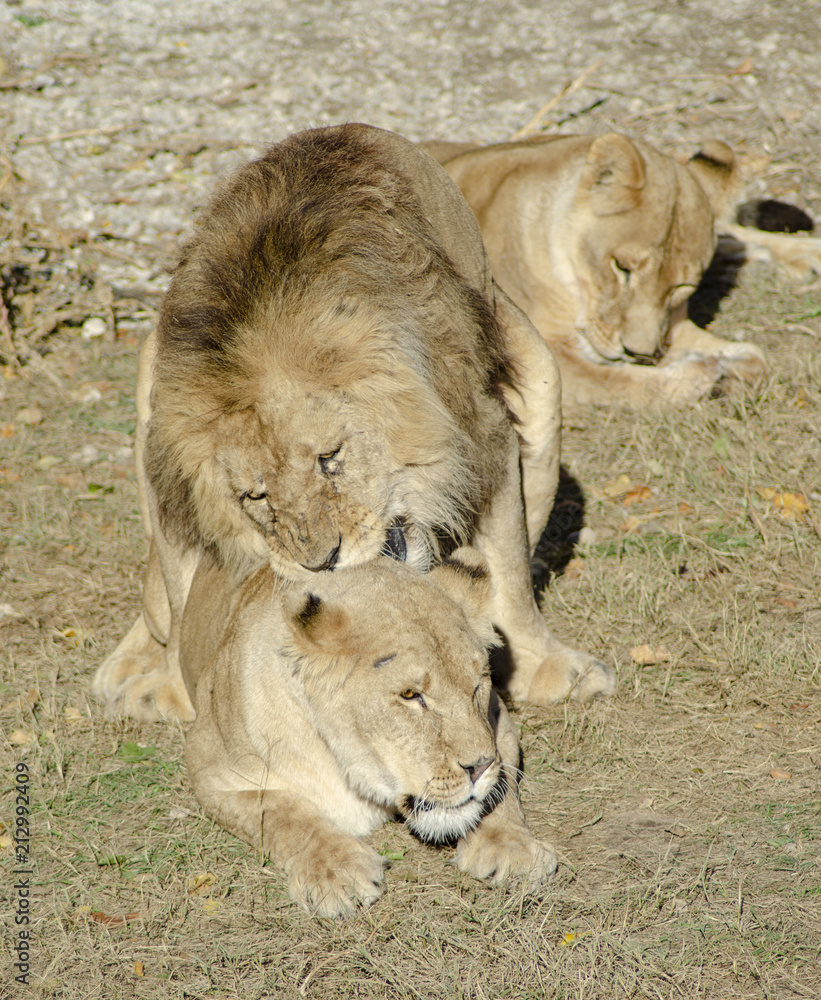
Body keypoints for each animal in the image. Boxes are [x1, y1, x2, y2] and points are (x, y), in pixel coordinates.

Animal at [92, 123, 616, 723]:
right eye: (255, 496)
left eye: (330, 458)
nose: (322, 563)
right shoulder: (166, 454)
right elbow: (182, 594)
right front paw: (178, 685)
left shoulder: (485, 429)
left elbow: (507, 566)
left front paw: (545, 666)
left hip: (541, 376)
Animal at [180, 548, 557, 917]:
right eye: (410, 695)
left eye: (478, 683)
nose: (477, 768)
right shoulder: (211, 770)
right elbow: (283, 813)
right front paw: (337, 870)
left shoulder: (500, 724)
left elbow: (501, 785)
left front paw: (513, 849)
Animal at [422, 132, 821, 407]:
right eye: (622, 268)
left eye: (680, 288)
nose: (639, 353)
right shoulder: (540, 359)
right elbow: (622, 385)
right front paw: (703, 377)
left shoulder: (670, 326)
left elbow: (758, 358)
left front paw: (726, 371)